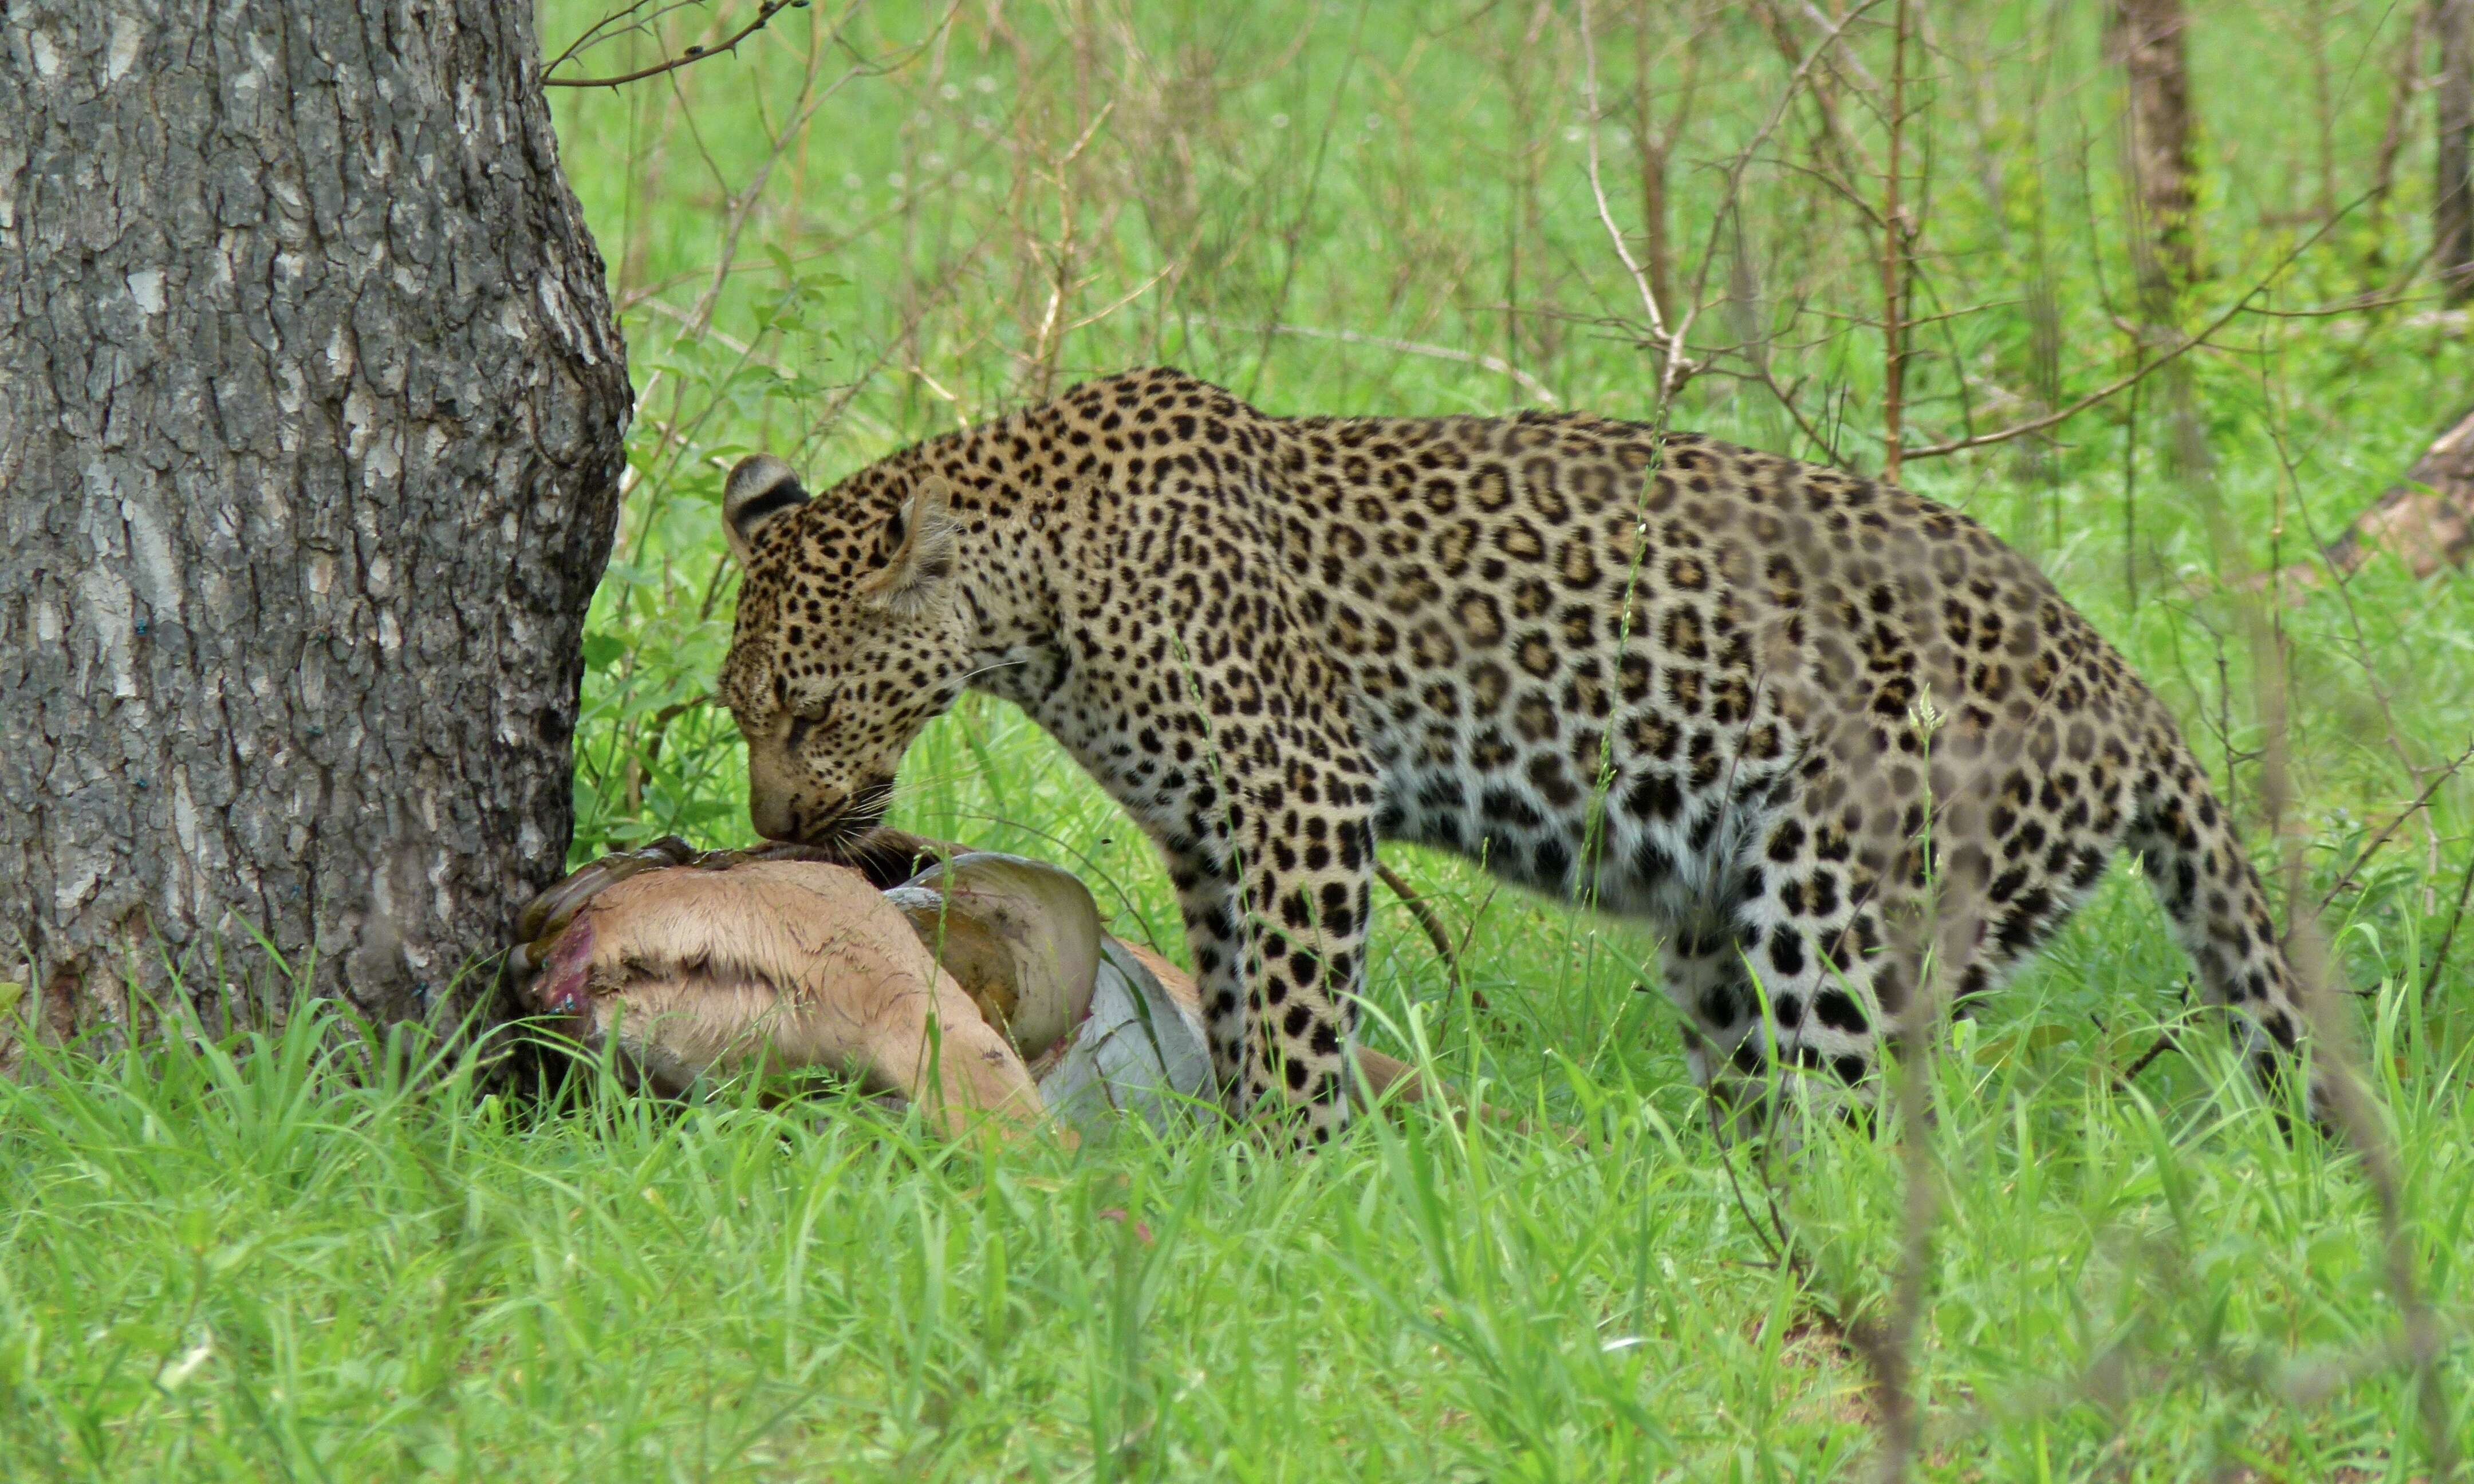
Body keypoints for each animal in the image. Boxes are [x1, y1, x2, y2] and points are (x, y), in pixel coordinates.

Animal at [712, 368, 2315, 1147]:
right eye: (737, 710)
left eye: (808, 710)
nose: (778, 833)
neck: (1037, 597)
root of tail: (2126, 685)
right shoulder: (1211, 837)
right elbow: (1234, 1001)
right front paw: (1235, 1153)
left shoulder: (1302, 799)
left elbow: (1298, 1018)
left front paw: (1287, 1174)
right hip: (1718, 931)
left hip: (1846, 900)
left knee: (1878, 1115)